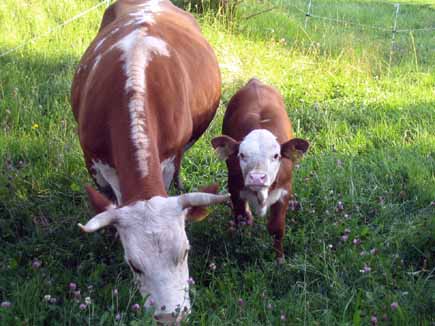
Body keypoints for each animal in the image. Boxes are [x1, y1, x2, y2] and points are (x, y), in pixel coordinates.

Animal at [212, 79, 310, 264]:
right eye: (242, 155)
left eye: (276, 155)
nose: (257, 178)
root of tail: (254, 82)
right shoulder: (234, 187)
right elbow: (242, 218)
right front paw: (240, 248)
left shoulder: (284, 191)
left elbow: (276, 228)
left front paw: (279, 259)